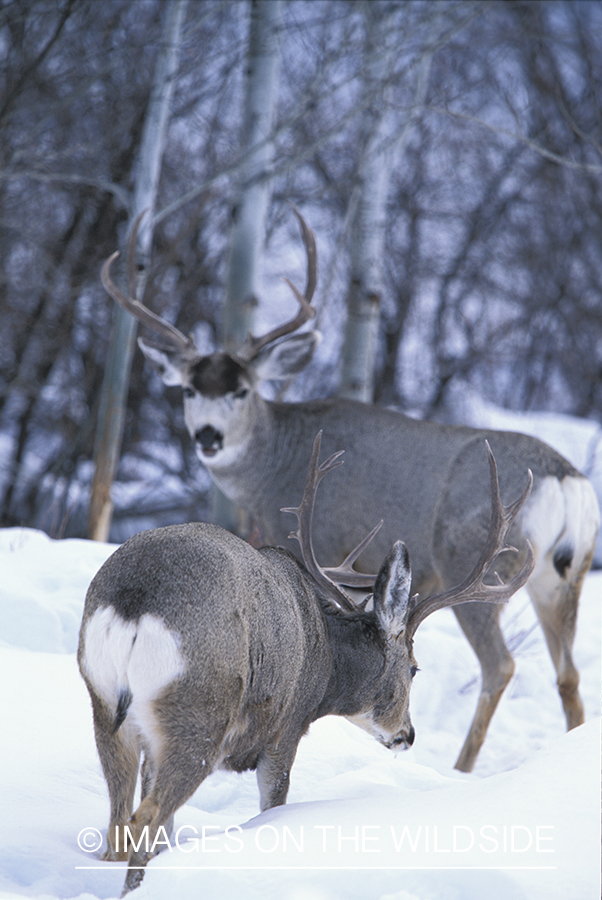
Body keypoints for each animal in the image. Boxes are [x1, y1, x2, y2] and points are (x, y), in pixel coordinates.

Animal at [78, 432, 533, 895]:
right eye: (414, 667)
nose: (407, 735)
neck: (326, 659)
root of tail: (136, 600)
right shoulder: (287, 728)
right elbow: (269, 809)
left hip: (106, 706)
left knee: (119, 822)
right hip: (199, 711)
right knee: (145, 817)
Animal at [100, 207, 600, 773]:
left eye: (241, 390)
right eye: (188, 388)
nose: (208, 436)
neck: (278, 462)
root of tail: (566, 480)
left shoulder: (316, 536)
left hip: (470, 558)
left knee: (501, 665)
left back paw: (460, 767)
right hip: (561, 579)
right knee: (568, 672)